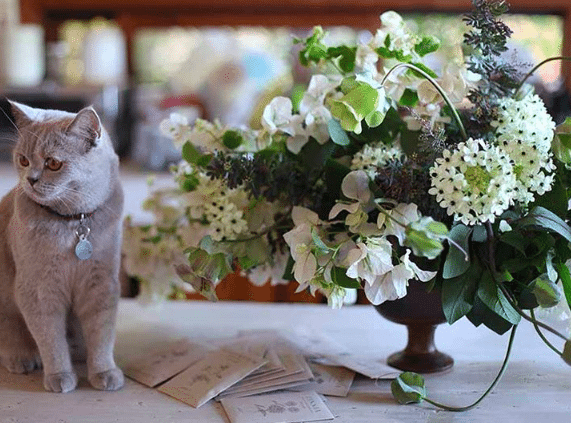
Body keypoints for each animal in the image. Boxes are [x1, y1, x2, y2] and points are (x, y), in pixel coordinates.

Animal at [0, 102, 124, 394]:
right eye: (23, 160)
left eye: (53, 163)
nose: (31, 179)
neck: (73, 223)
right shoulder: (38, 290)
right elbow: (50, 338)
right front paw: (60, 376)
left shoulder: (101, 284)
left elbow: (102, 333)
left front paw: (104, 372)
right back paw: (22, 357)